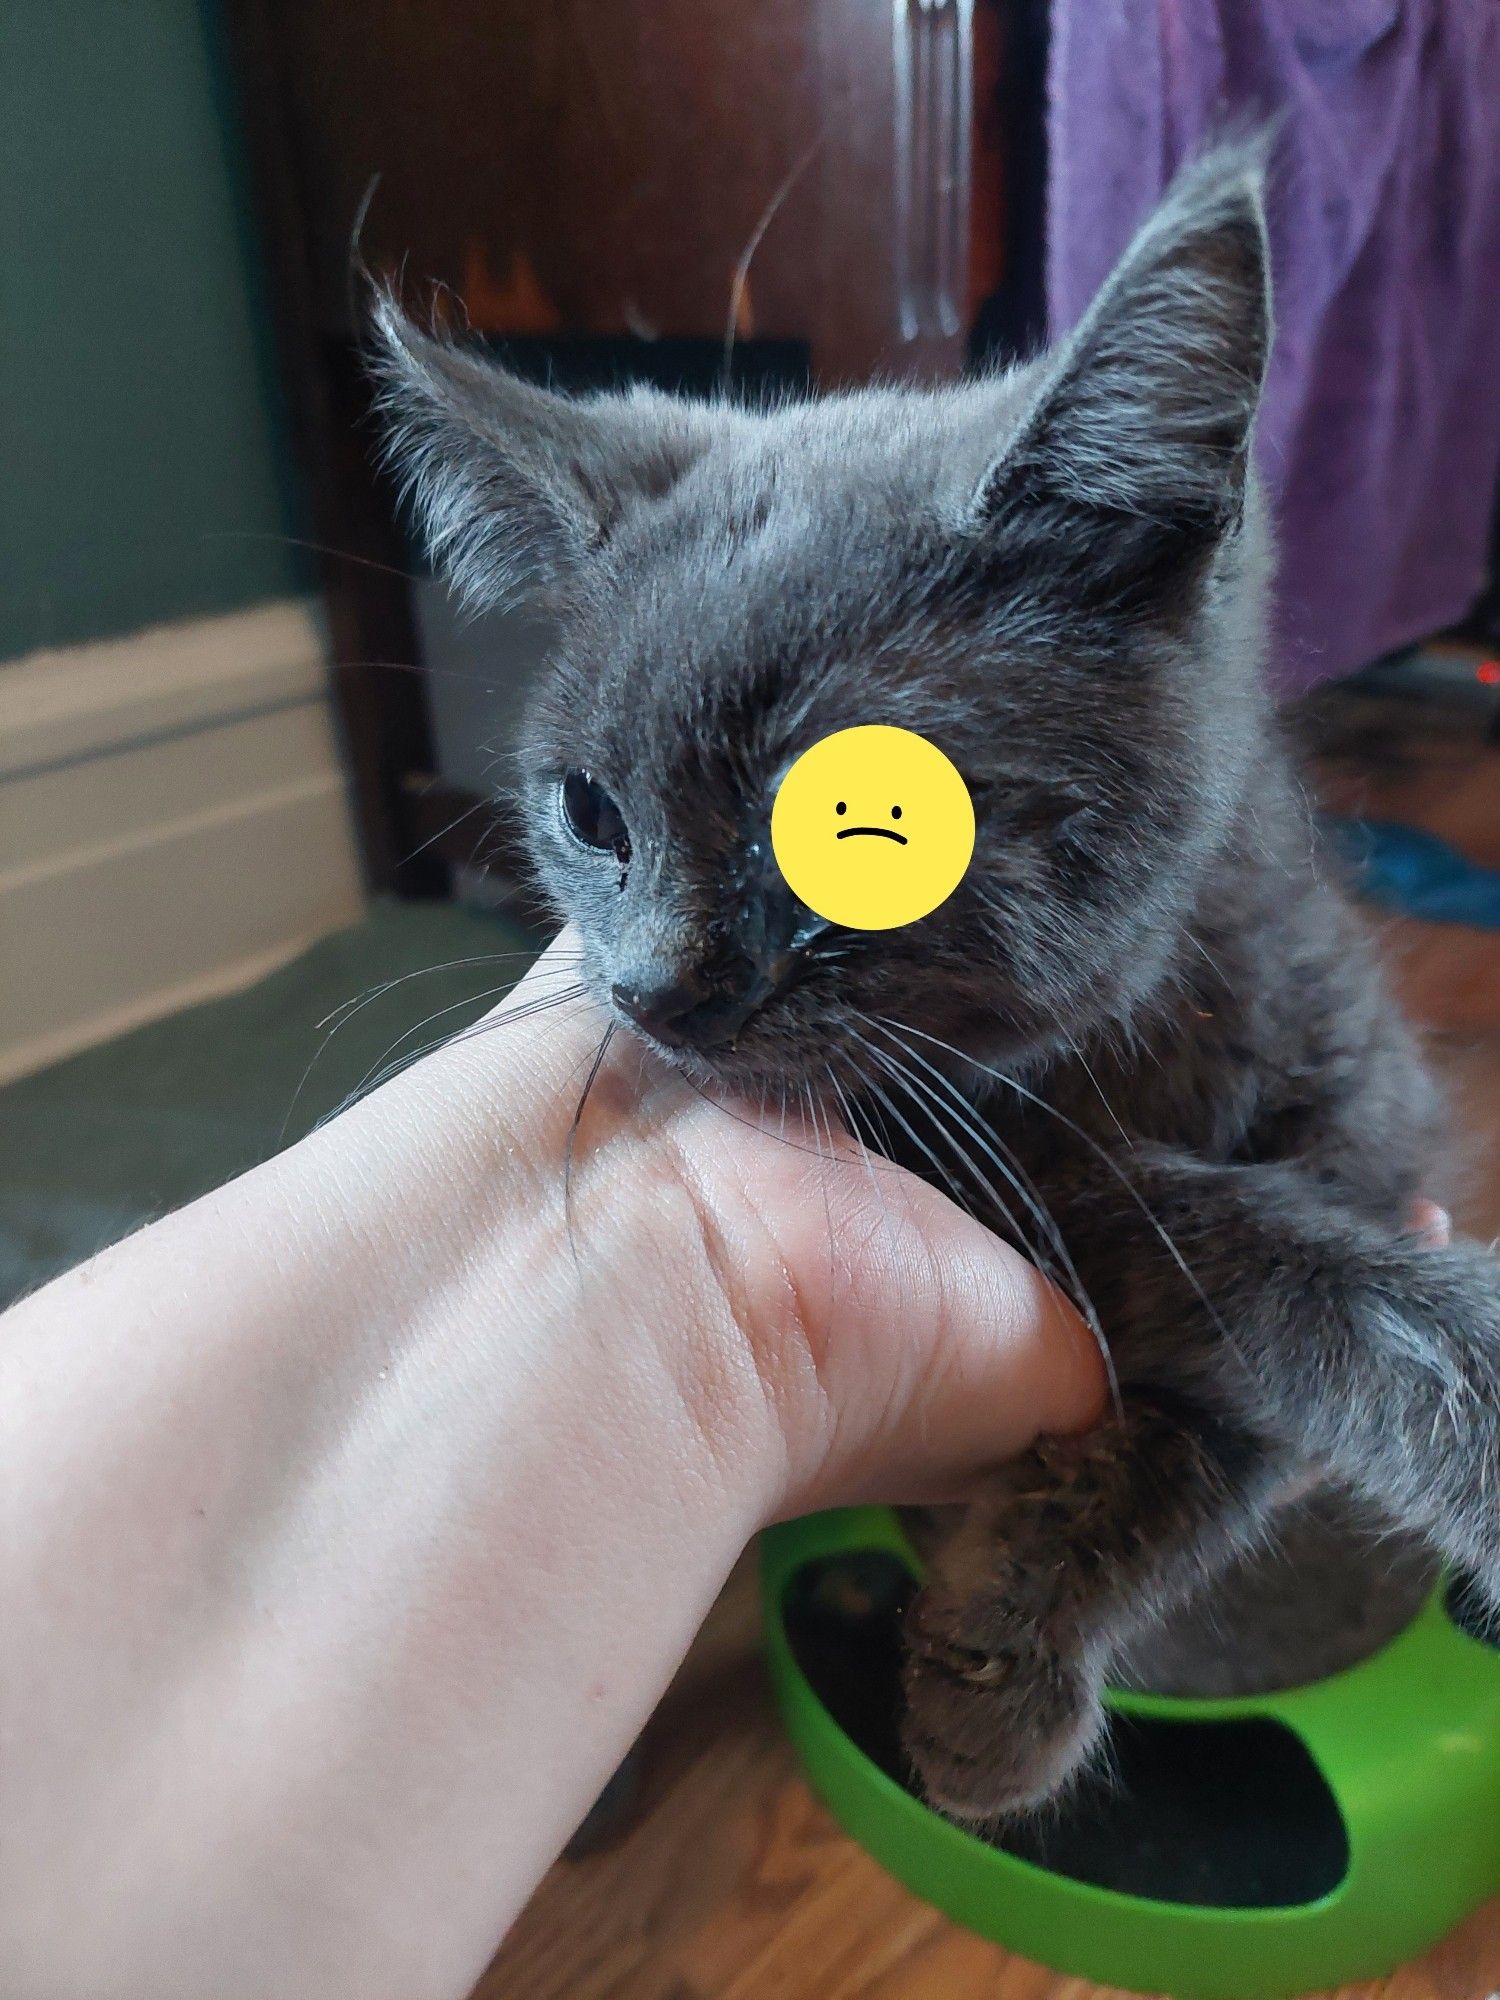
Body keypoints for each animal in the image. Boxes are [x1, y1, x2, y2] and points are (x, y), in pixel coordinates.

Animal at [374, 148, 1500, 1824]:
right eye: (592, 813)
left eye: (865, 823)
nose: (650, 989)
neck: (1110, 1068)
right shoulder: (1007, 1175)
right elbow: (1211, 1244)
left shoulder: (1361, 1103)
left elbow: (1237, 1380)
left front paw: (1001, 1650)